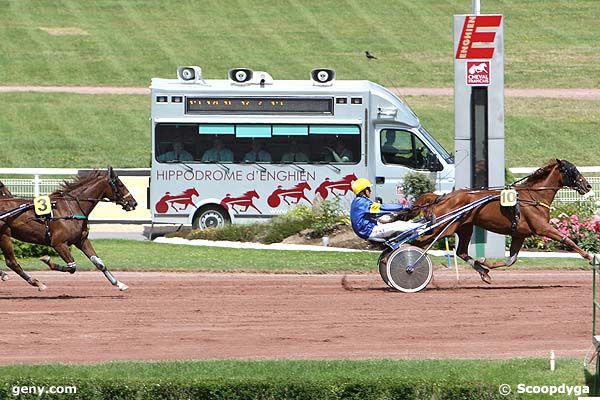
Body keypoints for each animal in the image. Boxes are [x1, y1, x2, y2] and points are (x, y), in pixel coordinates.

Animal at [0, 168, 137, 290]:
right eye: (120, 184)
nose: (133, 203)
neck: (72, 207)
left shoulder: (81, 241)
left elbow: (99, 263)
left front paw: (119, 283)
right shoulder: (58, 243)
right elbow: (72, 267)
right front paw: (47, 260)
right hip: (4, 235)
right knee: (12, 262)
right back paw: (36, 283)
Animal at [410, 159, 592, 284]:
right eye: (573, 170)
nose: (588, 186)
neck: (534, 196)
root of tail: (443, 197)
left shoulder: (520, 235)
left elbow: (511, 260)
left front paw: (486, 264)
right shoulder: (542, 228)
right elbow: (567, 239)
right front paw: (589, 256)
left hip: (464, 227)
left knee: (460, 251)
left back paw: (483, 272)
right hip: (444, 228)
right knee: (419, 243)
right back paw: (412, 267)